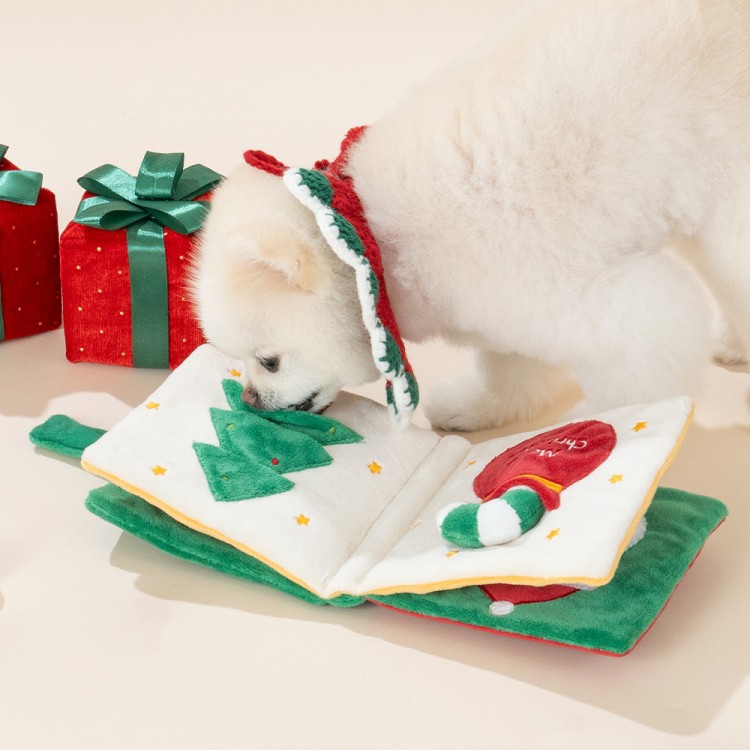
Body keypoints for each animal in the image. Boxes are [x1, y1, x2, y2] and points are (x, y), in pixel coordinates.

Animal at [192, 0, 750, 432]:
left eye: (268, 361)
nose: (250, 400)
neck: (375, 243)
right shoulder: (502, 310)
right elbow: (512, 370)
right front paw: (481, 409)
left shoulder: (595, 298)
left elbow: (641, 372)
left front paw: (611, 426)